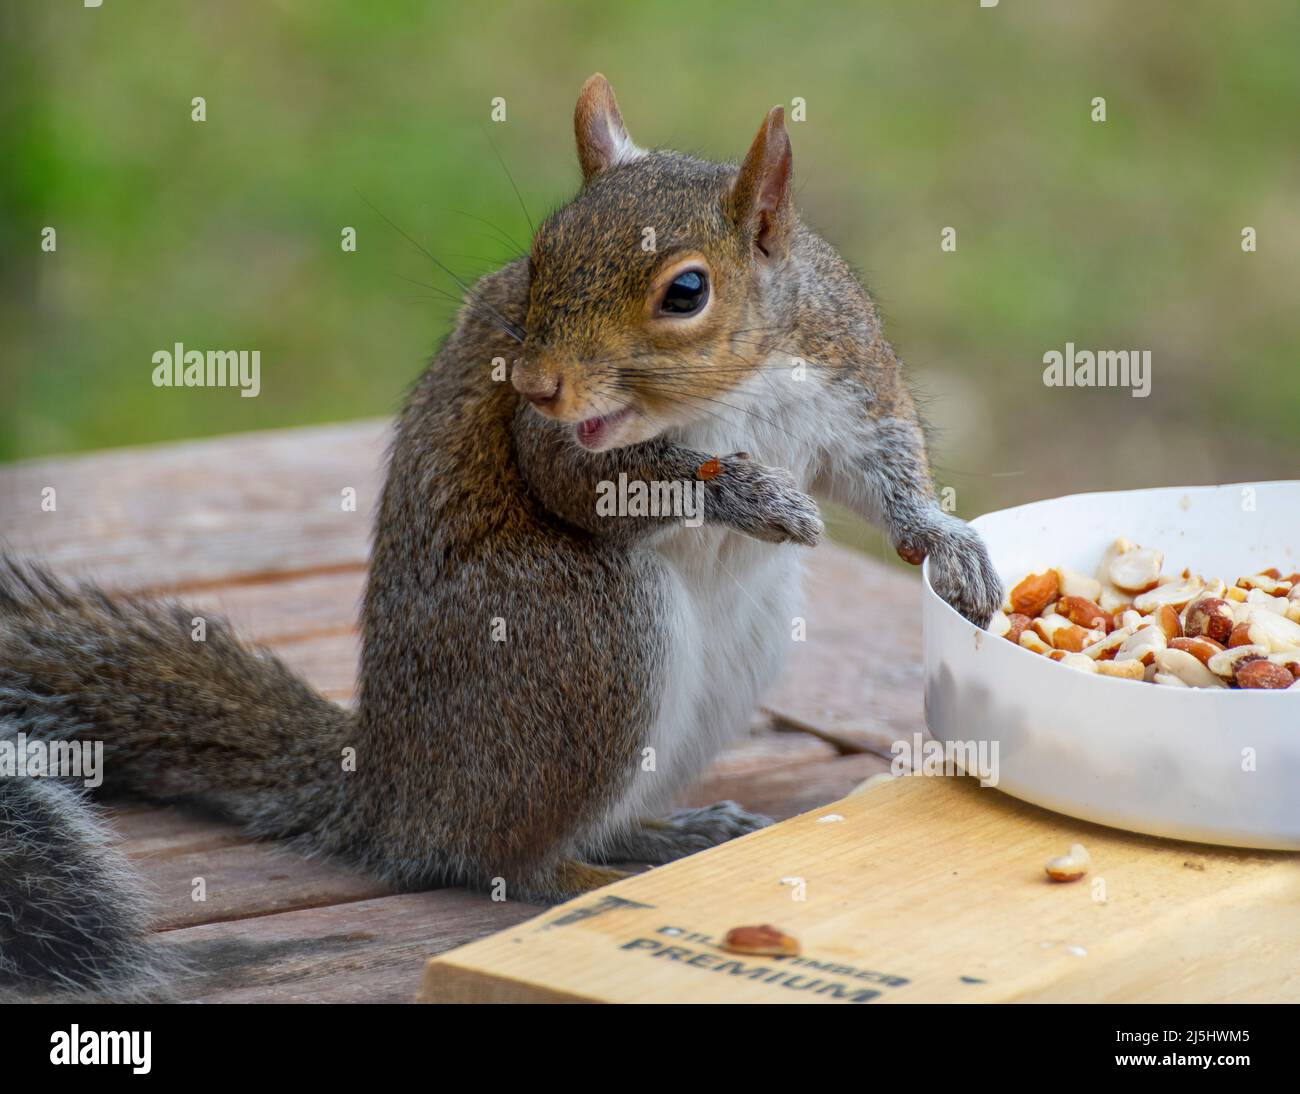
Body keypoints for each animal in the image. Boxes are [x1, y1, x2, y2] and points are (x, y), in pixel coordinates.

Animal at [0, 74, 1003, 997]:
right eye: (539, 257)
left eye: (686, 291)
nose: (533, 382)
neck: (740, 381)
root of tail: (392, 798)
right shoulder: (556, 450)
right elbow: (586, 489)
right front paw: (752, 494)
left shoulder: (851, 378)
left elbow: (886, 473)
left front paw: (949, 545)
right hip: (591, 635)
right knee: (510, 861)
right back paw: (590, 886)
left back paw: (672, 832)